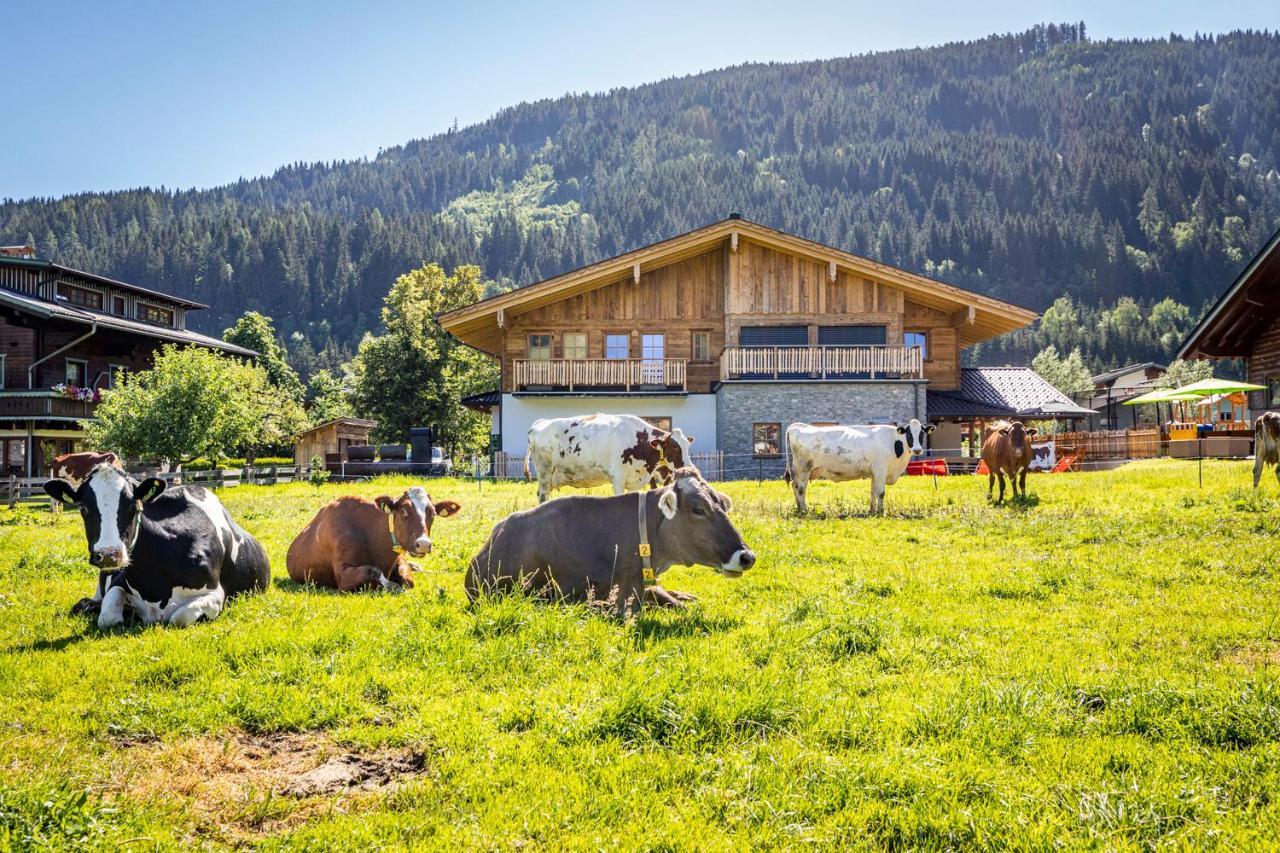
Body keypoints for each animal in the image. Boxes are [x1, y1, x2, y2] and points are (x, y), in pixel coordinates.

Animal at [46, 461, 271, 627]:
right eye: (83, 508)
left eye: (133, 507)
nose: (109, 555)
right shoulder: (118, 580)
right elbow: (108, 617)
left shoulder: (215, 594)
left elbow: (179, 618)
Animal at [288, 484, 463, 591]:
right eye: (404, 511)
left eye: (432, 513)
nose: (424, 544)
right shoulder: (342, 576)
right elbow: (373, 571)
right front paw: (391, 585)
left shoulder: (398, 558)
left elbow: (408, 579)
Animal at [524, 409, 696, 502]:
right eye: (675, 446)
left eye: (688, 446)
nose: (690, 469)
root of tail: (540, 422)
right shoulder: (618, 477)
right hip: (545, 473)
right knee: (543, 496)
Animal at [778, 417, 931, 512]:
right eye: (909, 434)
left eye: (922, 434)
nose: (917, 450)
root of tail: (798, 425)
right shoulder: (881, 470)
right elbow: (881, 493)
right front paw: (881, 512)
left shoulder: (874, 472)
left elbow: (873, 492)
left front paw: (872, 511)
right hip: (803, 469)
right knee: (801, 489)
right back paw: (805, 510)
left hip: (800, 471)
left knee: (795, 486)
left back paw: (799, 508)